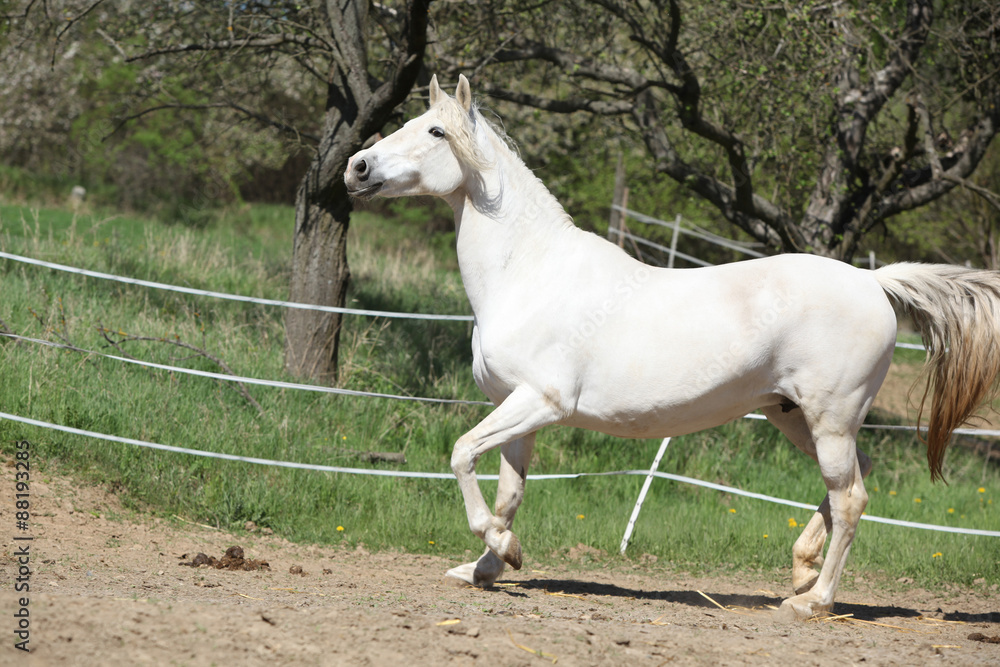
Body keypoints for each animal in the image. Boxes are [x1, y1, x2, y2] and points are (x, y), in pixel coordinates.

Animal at [344, 74, 1000, 620]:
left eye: (434, 131)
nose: (357, 167)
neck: (530, 274)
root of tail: (873, 281)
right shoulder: (516, 411)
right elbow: (508, 493)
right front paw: (489, 565)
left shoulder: (541, 402)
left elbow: (461, 455)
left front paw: (501, 550)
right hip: (795, 416)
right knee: (850, 484)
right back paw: (801, 569)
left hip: (829, 417)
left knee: (853, 500)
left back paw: (812, 603)